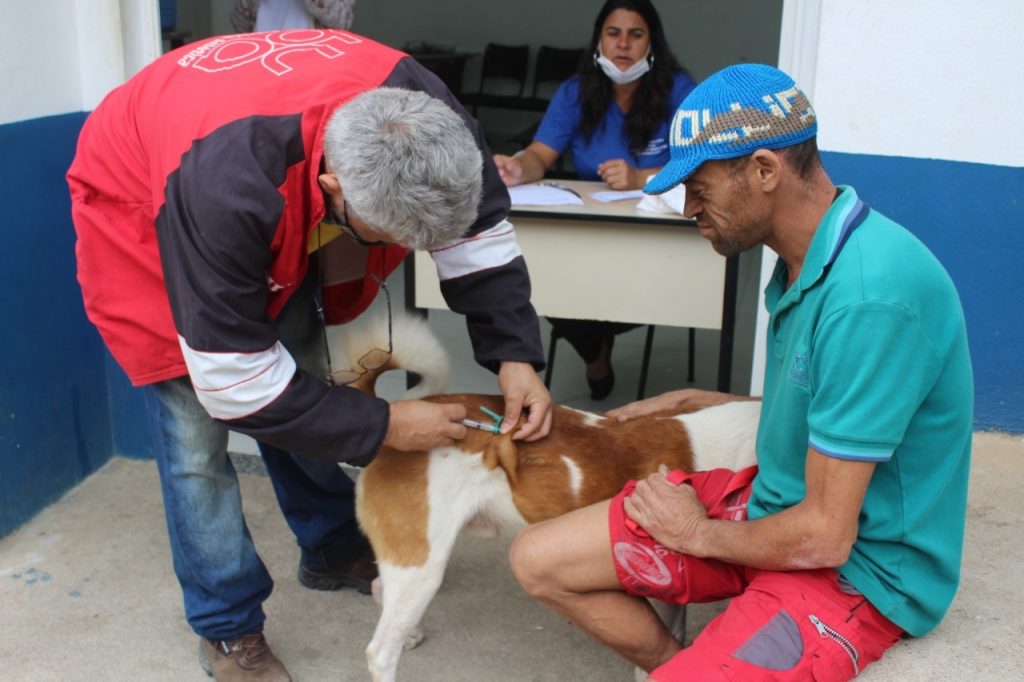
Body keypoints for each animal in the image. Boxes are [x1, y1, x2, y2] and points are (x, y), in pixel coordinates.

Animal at [337, 311, 761, 675]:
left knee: (380, 590)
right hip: (421, 563)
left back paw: (409, 633)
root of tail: (393, 412)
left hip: (411, 560)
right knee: (380, 652)